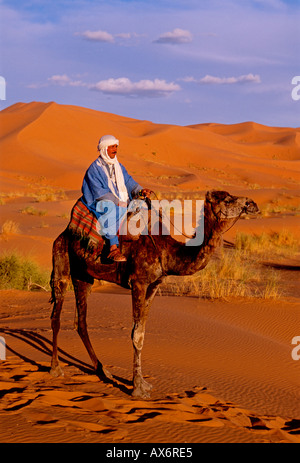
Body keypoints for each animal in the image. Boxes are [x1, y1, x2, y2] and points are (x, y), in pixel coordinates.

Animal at [49, 190, 260, 400]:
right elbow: (135, 335)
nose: (252, 204)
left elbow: (141, 334)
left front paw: (143, 383)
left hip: (83, 275)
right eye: (227, 199)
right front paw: (137, 389)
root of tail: (63, 233)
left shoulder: (154, 285)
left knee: (81, 322)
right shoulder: (138, 282)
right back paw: (56, 369)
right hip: (62, 262)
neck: (166, 251)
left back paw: (103, 371)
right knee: (56, 316)